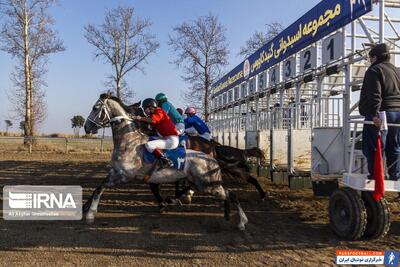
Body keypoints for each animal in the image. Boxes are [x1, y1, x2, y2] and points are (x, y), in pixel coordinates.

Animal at [83, 94, 248, 230]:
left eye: (95, 108)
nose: (86, 127)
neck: (128, 141)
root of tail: (212, 157)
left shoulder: (124, 175)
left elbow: (103, 188)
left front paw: (90, 213)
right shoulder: (115, 171)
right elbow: (98, 189)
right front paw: (88, 211)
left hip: (207, 184)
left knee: (231, 195)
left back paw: (242, 222)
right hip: (201, 183)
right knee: (225, 194)